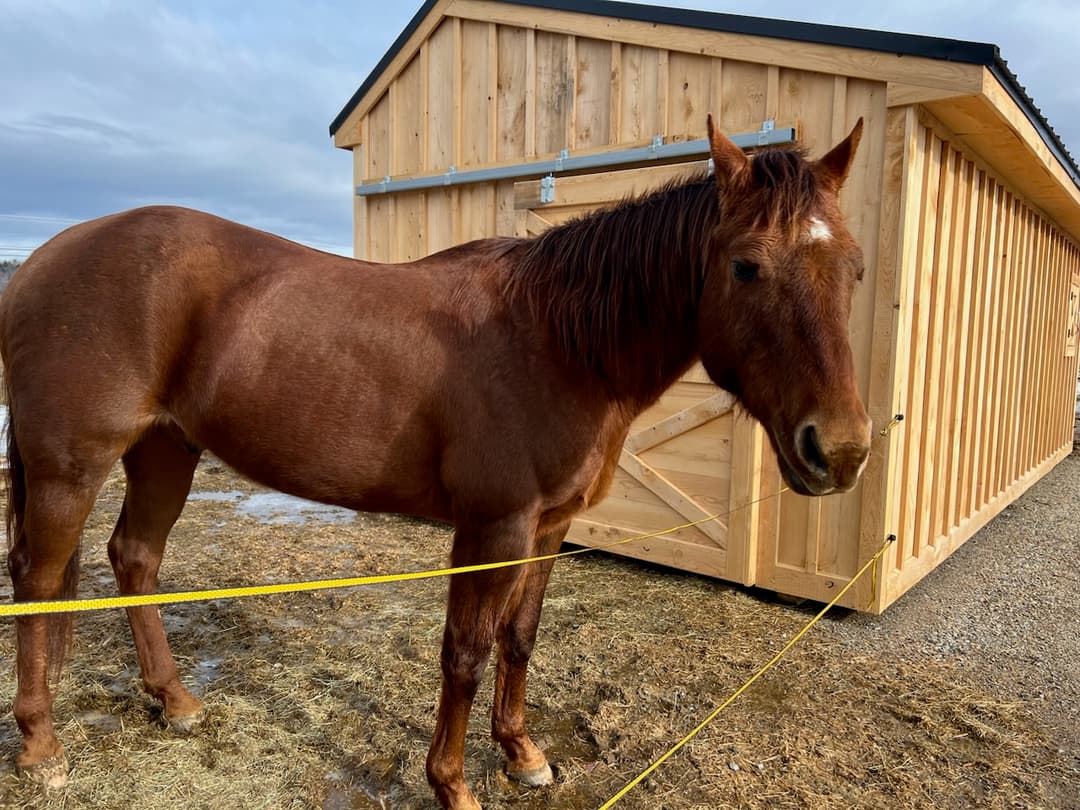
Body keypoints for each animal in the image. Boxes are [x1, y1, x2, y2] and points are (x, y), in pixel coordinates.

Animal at [1, 116, 871, 809]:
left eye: (856, 268)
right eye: (747, 265)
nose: (841, 449)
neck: (556, 338)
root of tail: (41, 258)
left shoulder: (548, 526)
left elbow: (520, 638)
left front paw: (522, 755)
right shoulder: (492, 528)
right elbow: (465, 654)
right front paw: (451, 784)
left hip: (164, 451)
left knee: (135, 557)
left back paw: (174, 701)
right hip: (68, 468)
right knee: (38, 581)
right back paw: (42, 747)